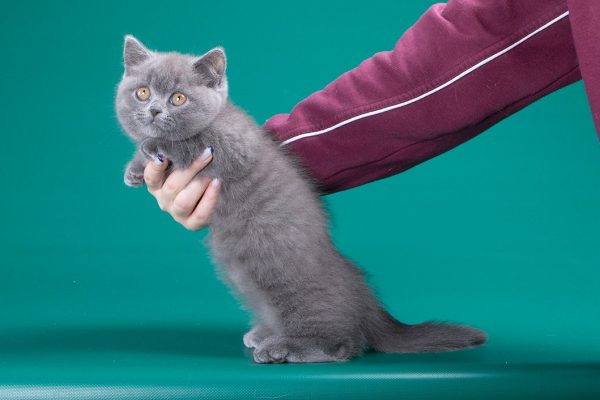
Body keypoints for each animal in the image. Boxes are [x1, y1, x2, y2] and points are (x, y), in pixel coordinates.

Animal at [116, 36, 488, 364]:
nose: (154, 110)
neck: (221, 116)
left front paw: (154, 146)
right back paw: (265, 334)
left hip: (290, 284)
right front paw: (137, 168)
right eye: (143, 92)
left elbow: (190, 142)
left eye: (178, 98)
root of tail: (364, 297)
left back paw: (284, 349)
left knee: (343, 344)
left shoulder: (233, 148)